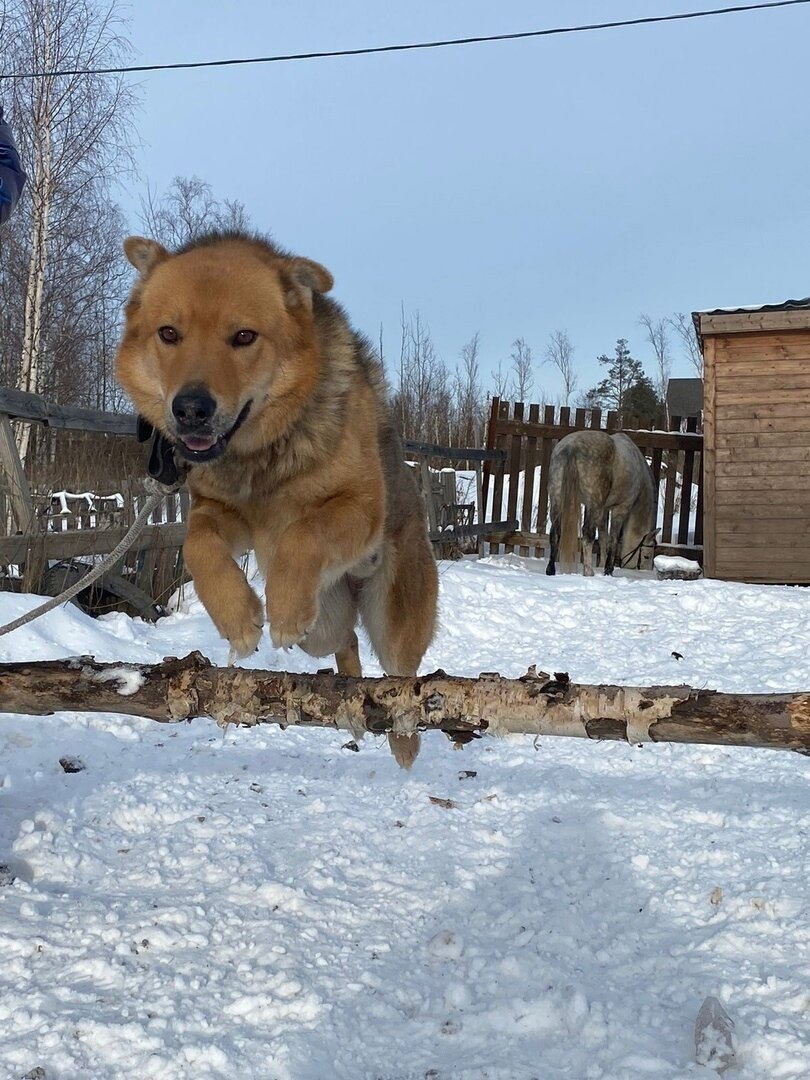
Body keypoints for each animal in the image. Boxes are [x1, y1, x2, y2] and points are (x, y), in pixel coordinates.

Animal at [115, 231, 438, 764]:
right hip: (324, 627)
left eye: (244, 337)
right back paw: (349, 696)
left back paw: (402, 731)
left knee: (403, 674)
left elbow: (305, 530)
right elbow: (198, 544)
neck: (265, 454)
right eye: (169, 333)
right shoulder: (221, 513)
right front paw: (239, 619)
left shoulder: (360, 507)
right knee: (345, 640)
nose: (190, 409)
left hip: (393, 618)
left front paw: (282, 610)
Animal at [546, 429, 660, 578]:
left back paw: (550, 570)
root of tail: (571, 448)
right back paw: (588, 571)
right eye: (647, 555)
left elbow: (603, 538)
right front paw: (608, 570)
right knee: (587, 534)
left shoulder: (603, 510)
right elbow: (613, 539)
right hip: (594, 504)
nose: (645, 570)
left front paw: (601, 564)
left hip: (557, 499)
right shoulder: (620, 508)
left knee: (555, 533)